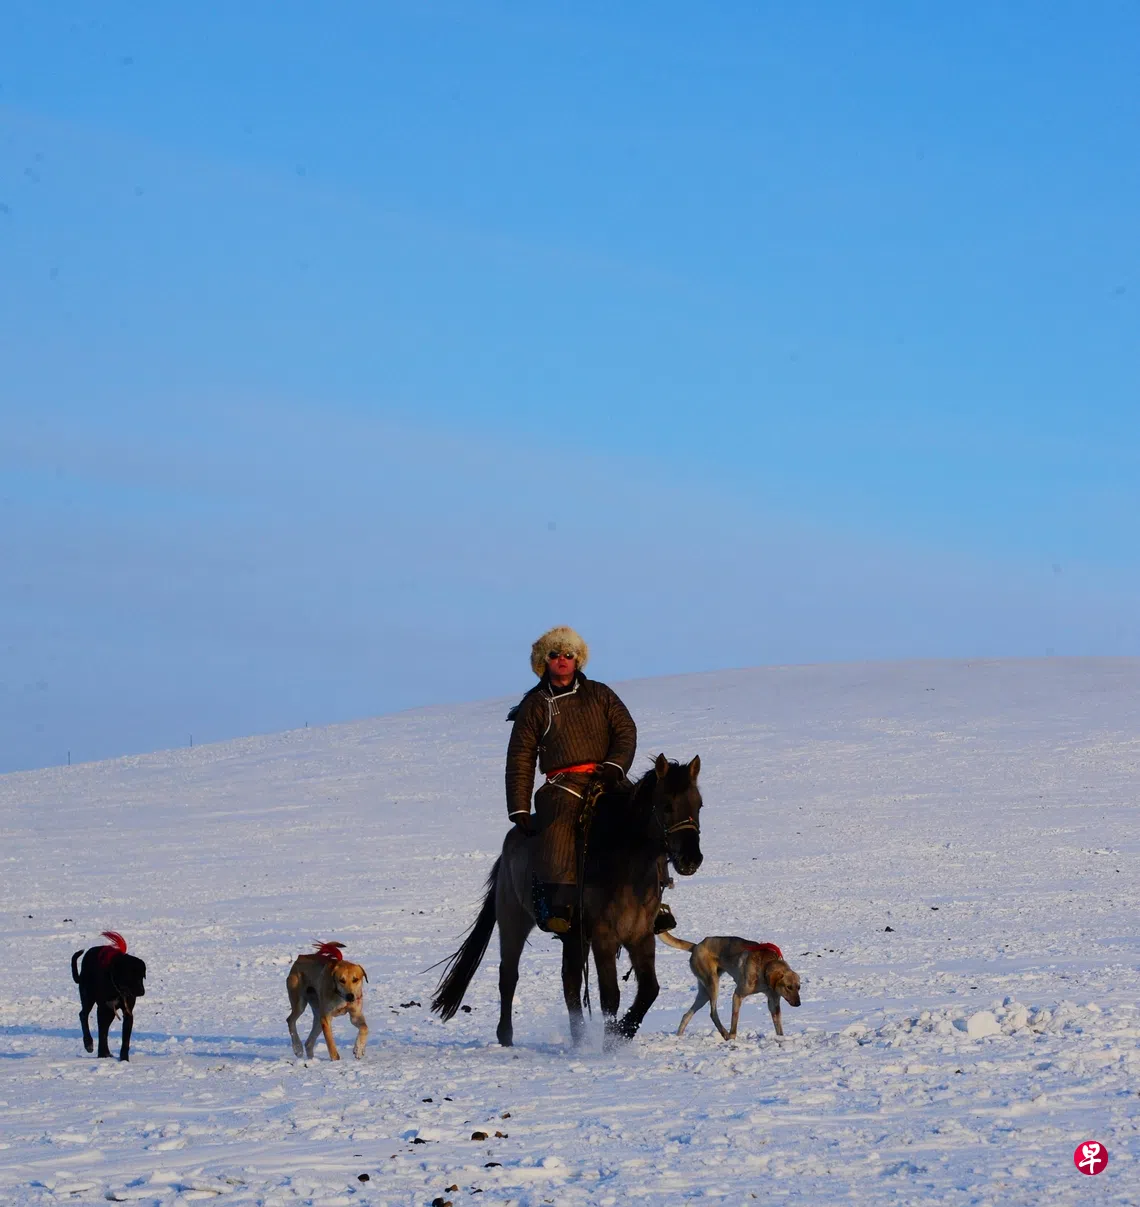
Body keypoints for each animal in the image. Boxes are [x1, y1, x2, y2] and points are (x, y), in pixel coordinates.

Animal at [71, 931, 147, 1060]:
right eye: (130, 976)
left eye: (141, 975)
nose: (142, 992)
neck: (119, 990)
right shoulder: (103, 1009)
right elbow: (102, 1033)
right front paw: (102, 1054)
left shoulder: (127, 1012)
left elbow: (125, 1039)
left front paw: (124, 1059)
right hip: (88, 996)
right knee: (83, 1015)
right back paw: (89, 1043)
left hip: (110, 1010)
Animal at [432, 754, 704, 1046]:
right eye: (666, 806)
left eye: (699, 805)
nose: (691, 859)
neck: (625, 865)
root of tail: (509, 847)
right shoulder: (604, 937)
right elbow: (610, 997)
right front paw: (610, 1045)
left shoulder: (640, 935)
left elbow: (649, 990)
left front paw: (623, 1033)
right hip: (514, 920)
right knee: (509, 976)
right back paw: (506, 1037)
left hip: (573, 936)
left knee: (570, 982)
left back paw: (579, 1040)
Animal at [659, 931, 801, 1039]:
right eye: (788, 987)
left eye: (799, 987)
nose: (798, 1004)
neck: (765, 967)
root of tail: (696, 946)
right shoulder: (738, 994)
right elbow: (734, 1021)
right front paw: (732, 1037)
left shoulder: (774, 1001)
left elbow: (778, 1026)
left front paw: (782, 1039)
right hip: (713, 983)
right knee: (713, 1013)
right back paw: (724, 1034)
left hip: (703, 993)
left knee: (686, 1015)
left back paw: (679, 1036)